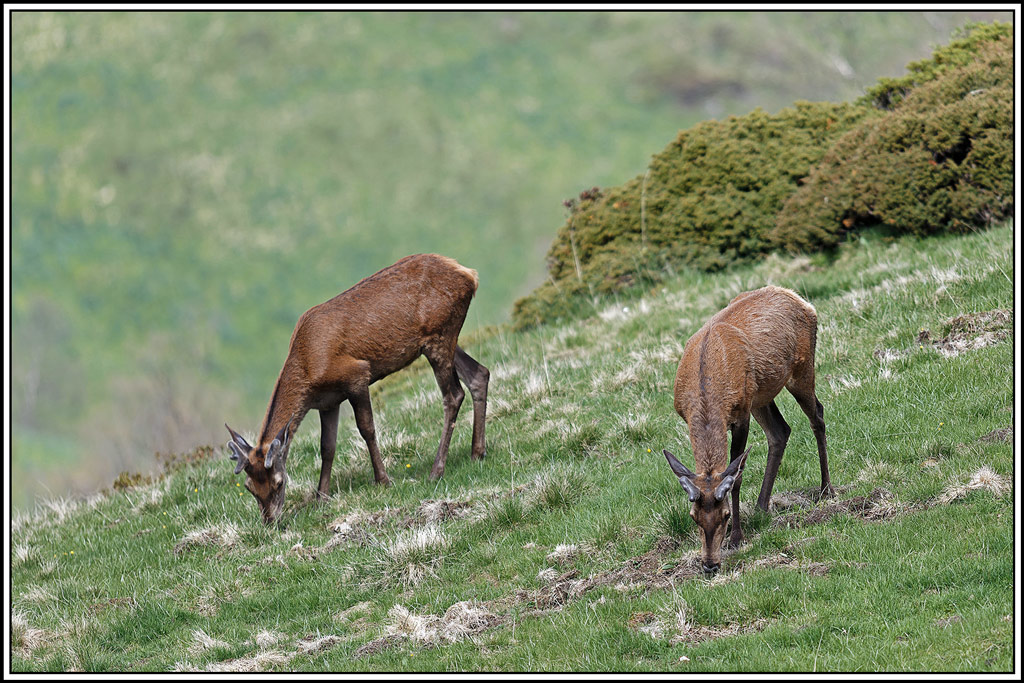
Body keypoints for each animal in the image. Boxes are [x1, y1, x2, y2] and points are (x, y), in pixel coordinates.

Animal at [224, 254, 490, 525]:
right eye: (249, 487)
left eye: (279, 482)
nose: (270, 521)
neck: (309, 370)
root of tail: (470, 275)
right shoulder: (328, 402)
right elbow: (327, 447)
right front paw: (321, 496)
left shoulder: (357, 377)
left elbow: (367, 429)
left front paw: (383, 480)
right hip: (443, 339)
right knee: (479, 374)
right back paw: (477, 453)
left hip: (439, 334)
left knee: (454, 395)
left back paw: (436, 471)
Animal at [662, 285, 833, 574]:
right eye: (693, 517)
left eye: (725, 515)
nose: (710, 565)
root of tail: (801, 300)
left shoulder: (741, 414)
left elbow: (737, 476)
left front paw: (737, 537)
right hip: (760, 396)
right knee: (780, 431)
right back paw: (762, 506)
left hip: (801, 369)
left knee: (818, 416)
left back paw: (826, 489)